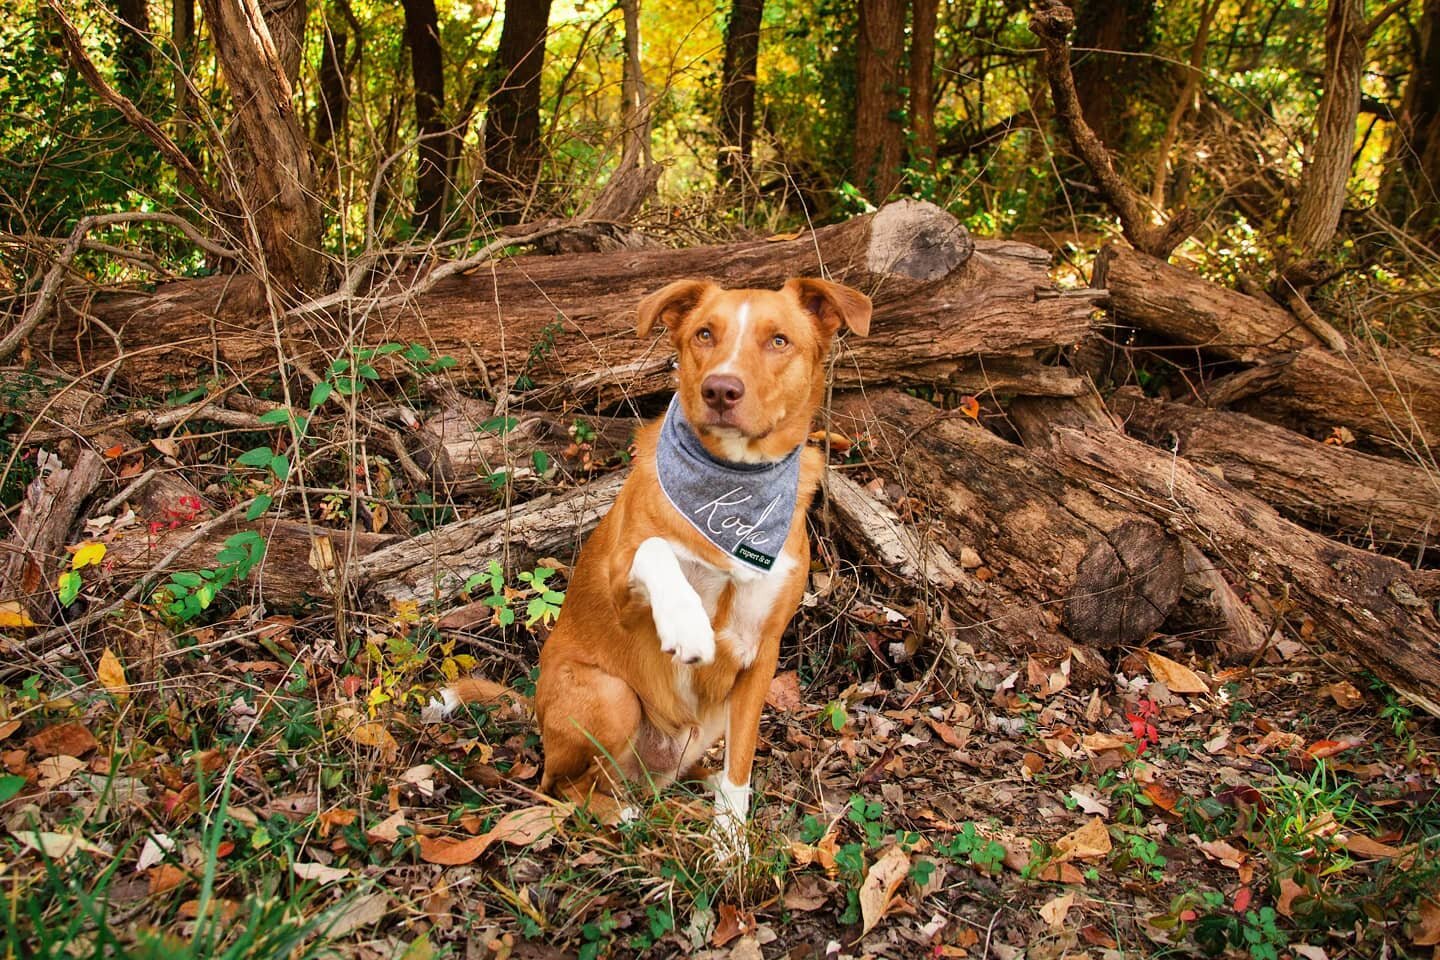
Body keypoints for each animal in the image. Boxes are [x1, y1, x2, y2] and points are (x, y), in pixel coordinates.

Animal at [449, 277, 869, 857]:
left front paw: (730, 841)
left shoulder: (761, 658)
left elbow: (742, 762)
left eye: (779, 340)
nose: (721, 390)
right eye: (704, 334)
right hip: (611, 697)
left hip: (704, 723)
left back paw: (697, 788)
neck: (733, 490)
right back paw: (618, 814)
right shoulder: (621, 587)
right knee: (563, 786)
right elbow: (656, 549)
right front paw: (687, 621)